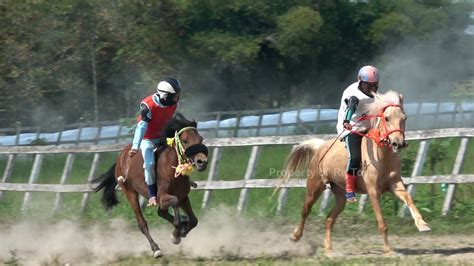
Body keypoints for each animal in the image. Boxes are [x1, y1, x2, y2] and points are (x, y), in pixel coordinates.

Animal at [91, 114, 208, 258]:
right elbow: (174, 204)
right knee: (142, 223)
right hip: (130, 193)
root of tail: (121, 157)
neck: (171, 169)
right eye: (185, 141)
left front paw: (182, 229)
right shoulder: (163, 197)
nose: (202, 162)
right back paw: (155, 248)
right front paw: (176, 233)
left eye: (200, 139)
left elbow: (193, 220)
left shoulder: (184, 197)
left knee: (161, 213)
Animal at [280, 91, 432, 254]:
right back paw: (295, 236)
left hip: (341, 196)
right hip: (314, 187)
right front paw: (388, 250)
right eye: (387, 118)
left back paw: (328, 248)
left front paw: (423, 224)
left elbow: (409, 199)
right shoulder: (373, 191)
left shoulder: (395, 184)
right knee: (305, 211)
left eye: (404, 118)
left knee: (329, 218)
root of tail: (320, 147)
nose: (399, 143)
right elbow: (382, 223)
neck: (381, 156)